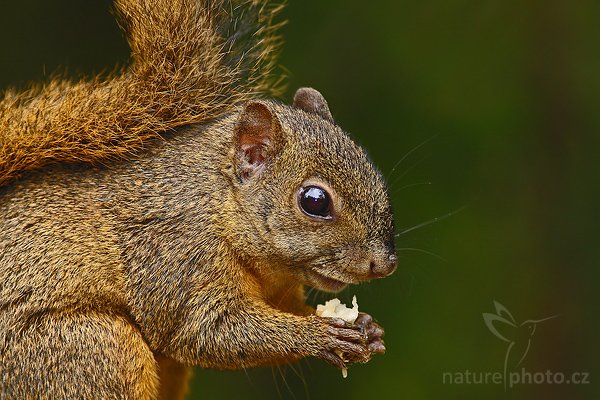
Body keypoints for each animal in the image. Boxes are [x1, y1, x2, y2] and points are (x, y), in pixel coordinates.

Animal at [0, 0, 398, 396]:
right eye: (315, 201)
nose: (385, 264)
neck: (219, 206)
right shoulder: (177, 254)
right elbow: (204, 331)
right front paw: (319, 335)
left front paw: (367, 328)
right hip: (87, 351)